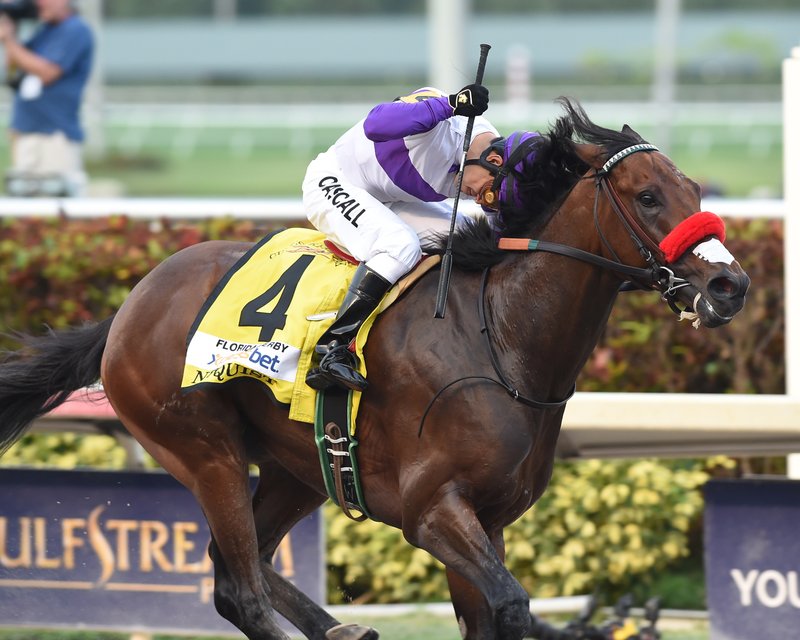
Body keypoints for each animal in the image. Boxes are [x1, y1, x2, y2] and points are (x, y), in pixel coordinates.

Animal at [1, 101, 752, 640]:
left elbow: (489, 613)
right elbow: (511, 604)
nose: (730, 286)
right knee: (238, 589)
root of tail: (130, 304)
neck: (500, 339)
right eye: (648, 196)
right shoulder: (432, 510)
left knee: (245, 561)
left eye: (691, 188)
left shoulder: (489, 518)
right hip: (202, 449)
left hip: (300, 465)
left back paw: (343, 630)